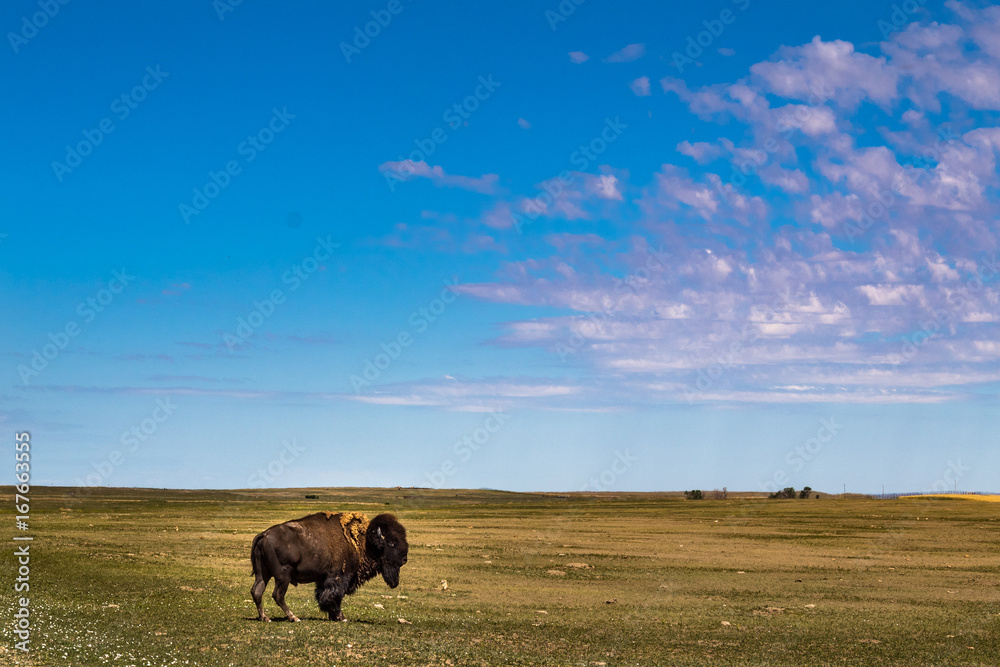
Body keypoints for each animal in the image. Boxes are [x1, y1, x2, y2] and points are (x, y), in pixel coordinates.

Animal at [249, 516, 406, 624]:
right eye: (391, 543)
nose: (404, 559)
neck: (364, 542)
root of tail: (264, 535)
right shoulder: (339, 577)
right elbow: (334, 596)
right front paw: (341, 617)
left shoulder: (323, 579)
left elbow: (324, 595)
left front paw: (335, 616)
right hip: (283, 576)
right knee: (278, 595)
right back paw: (294, 618)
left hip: (263, 574)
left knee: (257, 591)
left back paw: (265, 618)